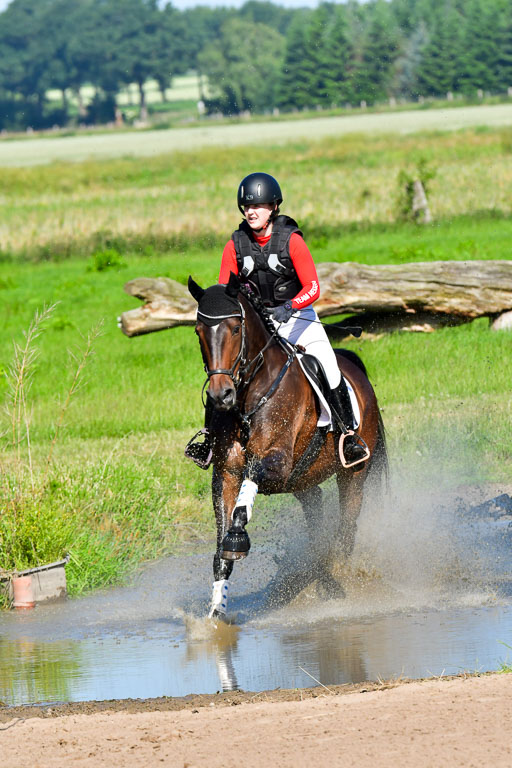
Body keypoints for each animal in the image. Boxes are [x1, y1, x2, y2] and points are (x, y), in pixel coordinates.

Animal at [188, 272, 387, 618]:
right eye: (199, 331)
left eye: (236, 328)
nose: (220, 395)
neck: (249, 395)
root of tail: (357, 371)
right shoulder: (226, 473)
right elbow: (221, 556)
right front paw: (214, 617)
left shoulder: (277, 463)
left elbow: (248, 489)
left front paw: (237, 537)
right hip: (303, 481)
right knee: (317, 514)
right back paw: (318, 575)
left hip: (353, 472)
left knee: (346, 529)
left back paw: (340, 583)